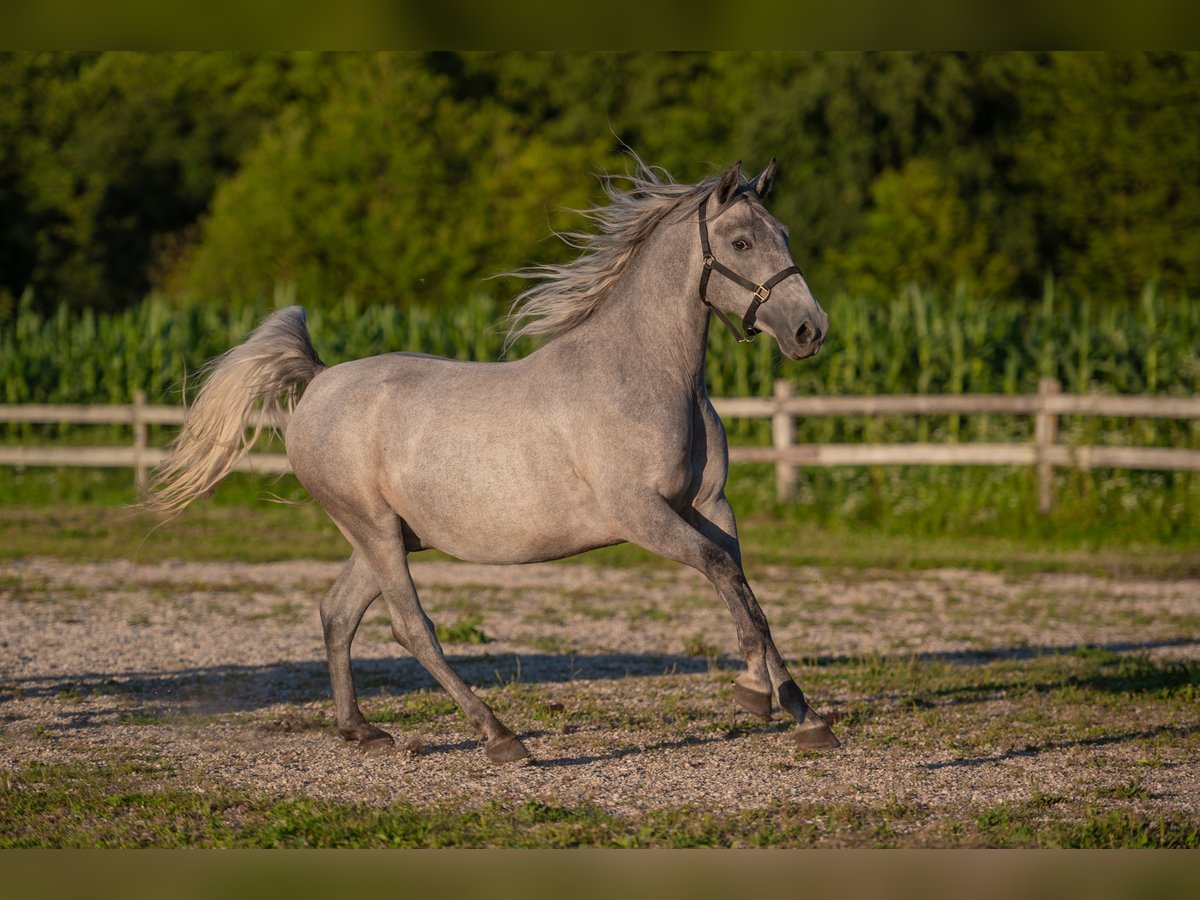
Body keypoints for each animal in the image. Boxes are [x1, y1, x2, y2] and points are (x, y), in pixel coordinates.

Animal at [147, 158, 835, 763]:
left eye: (784, 233)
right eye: (741, 241)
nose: (811, 330)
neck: (648, 375)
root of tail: (317, 381)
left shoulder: (711, 505)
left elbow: (747, 593)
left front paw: (807, 718)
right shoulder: (642, 514)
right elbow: (724, 575)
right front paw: (754, 694)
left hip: (389, 535)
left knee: (338, 613)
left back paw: (362, 732)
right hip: (373, 529)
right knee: (410, 626)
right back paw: (500, 737)